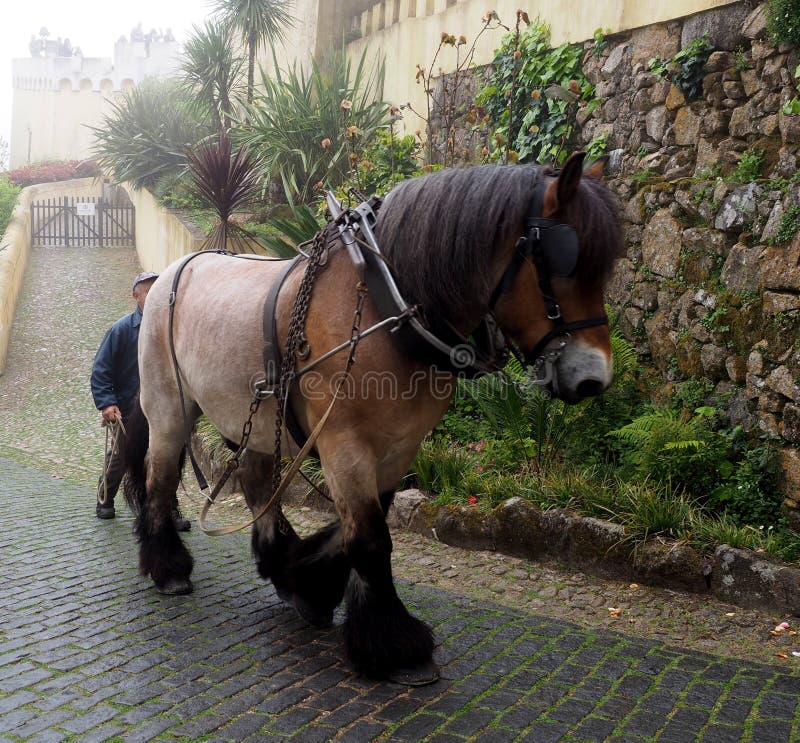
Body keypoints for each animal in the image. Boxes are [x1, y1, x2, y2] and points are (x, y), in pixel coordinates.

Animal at [125, 153, 624, 684]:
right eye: (563, 261)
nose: (593, 378)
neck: (388, 309)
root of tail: (172, 273)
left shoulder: (399, 447)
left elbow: (362, 531)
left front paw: (307, 582)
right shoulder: (343, 445)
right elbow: (369, 540)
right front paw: (395, 645)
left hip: (255, 420)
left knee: (258, 482)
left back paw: (275, 559)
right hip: (170, 408)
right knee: (161, 474)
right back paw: (167, 567)